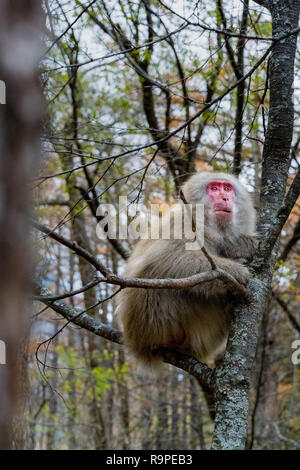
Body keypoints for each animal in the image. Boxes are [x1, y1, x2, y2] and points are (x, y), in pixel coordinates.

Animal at [116, 171, 255, 370]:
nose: (225, 198)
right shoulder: (183, 224)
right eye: (214, 188)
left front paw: (241, 247)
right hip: (154, 318)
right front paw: (238, 270)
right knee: (156, 276)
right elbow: (169, 258)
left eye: (227, 188)